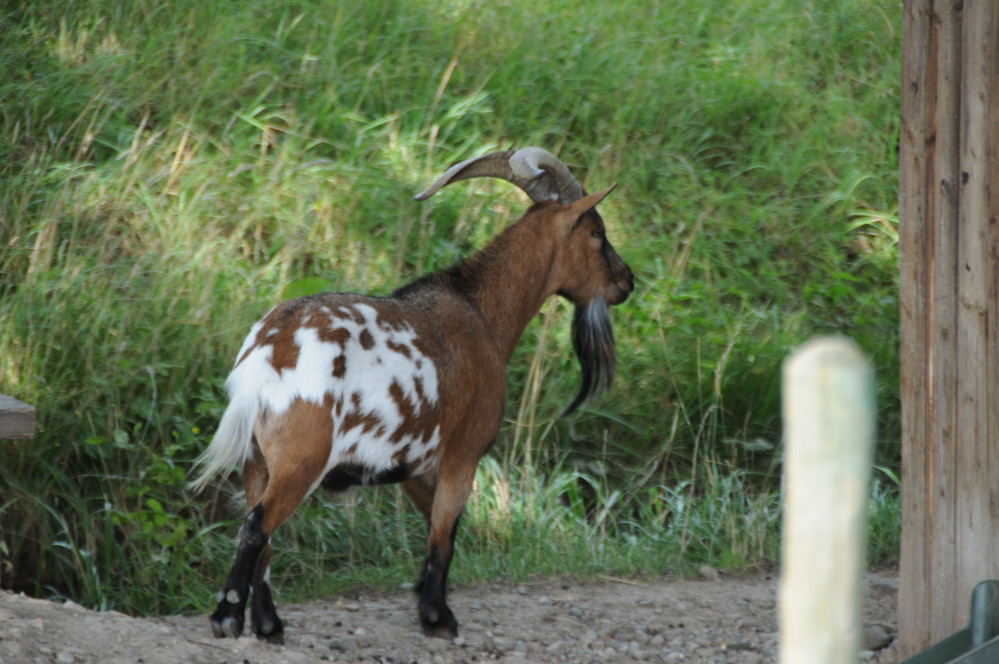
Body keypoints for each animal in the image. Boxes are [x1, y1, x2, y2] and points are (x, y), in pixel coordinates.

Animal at [189, 147, 632, 644]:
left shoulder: (415, 467)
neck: (481, 311)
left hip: (255, 459)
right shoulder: (462, 454)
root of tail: (267, 354)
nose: (627, 280)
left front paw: (425, 602)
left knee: (260, 533)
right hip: (300, 460)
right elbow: (445, 535)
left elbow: (432, 529)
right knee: (256, 526)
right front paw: (439, 618)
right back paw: (229, 617)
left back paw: (268, 626)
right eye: (597, 233)